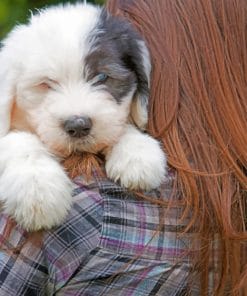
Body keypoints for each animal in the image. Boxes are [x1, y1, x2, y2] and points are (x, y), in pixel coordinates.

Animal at [0, 4, 167, 230]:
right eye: (46, 83)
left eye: (103, 76)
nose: (78, 125)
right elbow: (21, 142)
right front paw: (38, 190)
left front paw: (137, 154)